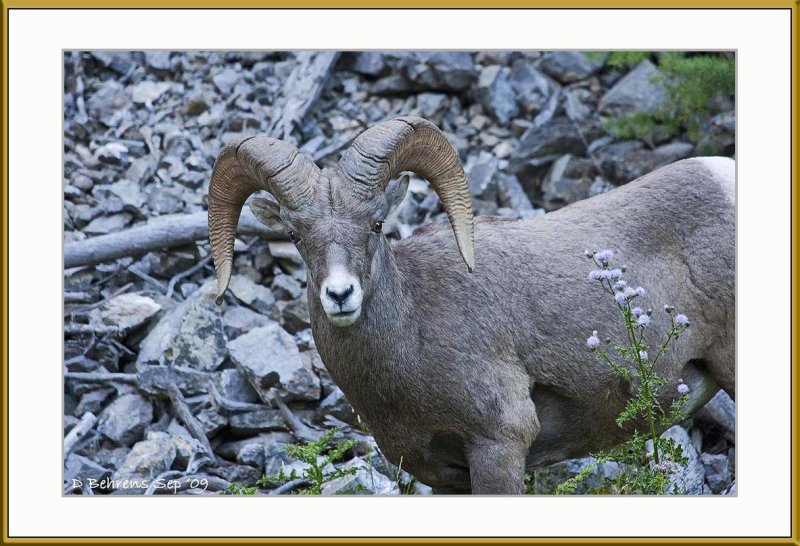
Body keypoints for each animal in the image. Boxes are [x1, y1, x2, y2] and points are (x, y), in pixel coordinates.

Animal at [208, 115, 736, 492]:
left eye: (376, 224)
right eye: (296, 236)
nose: (340, 295)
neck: (412, 339)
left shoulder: (499, 448)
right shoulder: (442, 476)